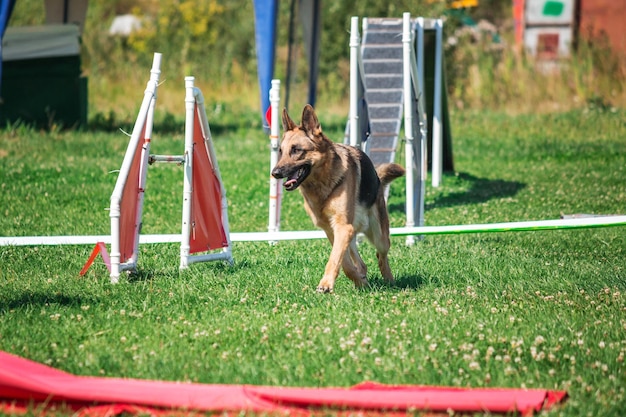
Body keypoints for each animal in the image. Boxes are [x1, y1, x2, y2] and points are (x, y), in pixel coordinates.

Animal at [270, 104, 402, 292]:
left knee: (381, 255)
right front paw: (357, 281)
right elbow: (344, 262)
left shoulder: (342, 228)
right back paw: (363, 280)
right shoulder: (332, 230)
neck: (322, 184)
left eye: (296, 150)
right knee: (361, 262)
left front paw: (325, 284)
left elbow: (335, 259)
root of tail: (377, 178)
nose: (275, 173)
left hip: (379, 235)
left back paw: (389, 280)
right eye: (281, 151)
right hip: (352, 232)